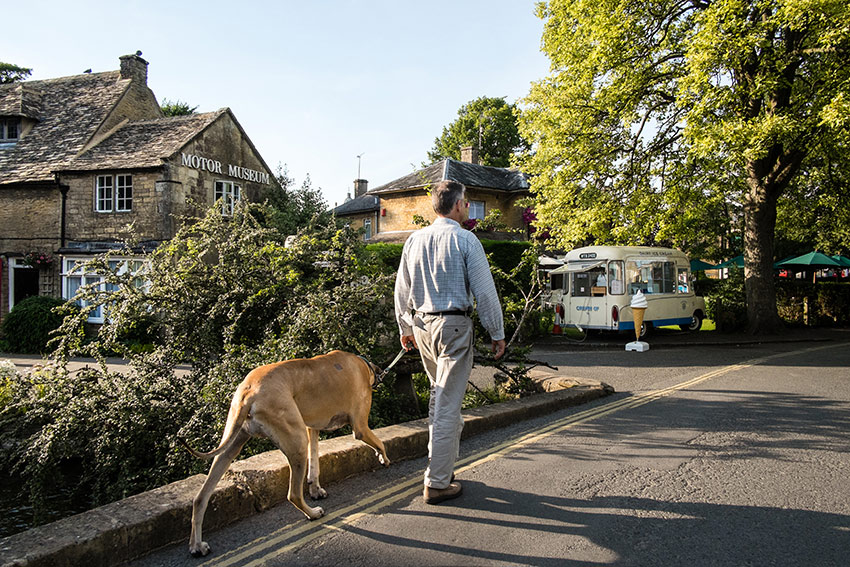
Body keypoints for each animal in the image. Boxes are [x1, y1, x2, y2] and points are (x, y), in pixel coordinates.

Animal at [182, 350, 390, 560]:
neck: (363, 366)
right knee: (294, 494)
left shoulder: (312, 428)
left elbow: (314, 463)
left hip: (232, 443)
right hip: (297, 440)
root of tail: (249, 391)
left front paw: (315, 489)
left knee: (200, 497)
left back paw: (196, 545)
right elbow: (379, 442)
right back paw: (313, 514)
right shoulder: (360, 427)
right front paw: (384, 457)